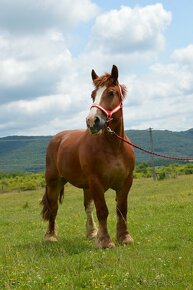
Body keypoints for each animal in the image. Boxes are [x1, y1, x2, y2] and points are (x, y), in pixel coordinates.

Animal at [40, 64, 134, 248]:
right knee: (53, 208)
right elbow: (103, 211)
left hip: (86, 186)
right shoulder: (96, 182)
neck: (114, 147)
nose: (92, 121)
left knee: (87, 207)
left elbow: (121, 209)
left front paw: (124, 237)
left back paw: (92, 233)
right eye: (92, 95)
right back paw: (51, 236)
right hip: (55, 183)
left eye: (111, 93)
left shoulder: (125, 182)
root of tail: (58, 138)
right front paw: (105, 242)